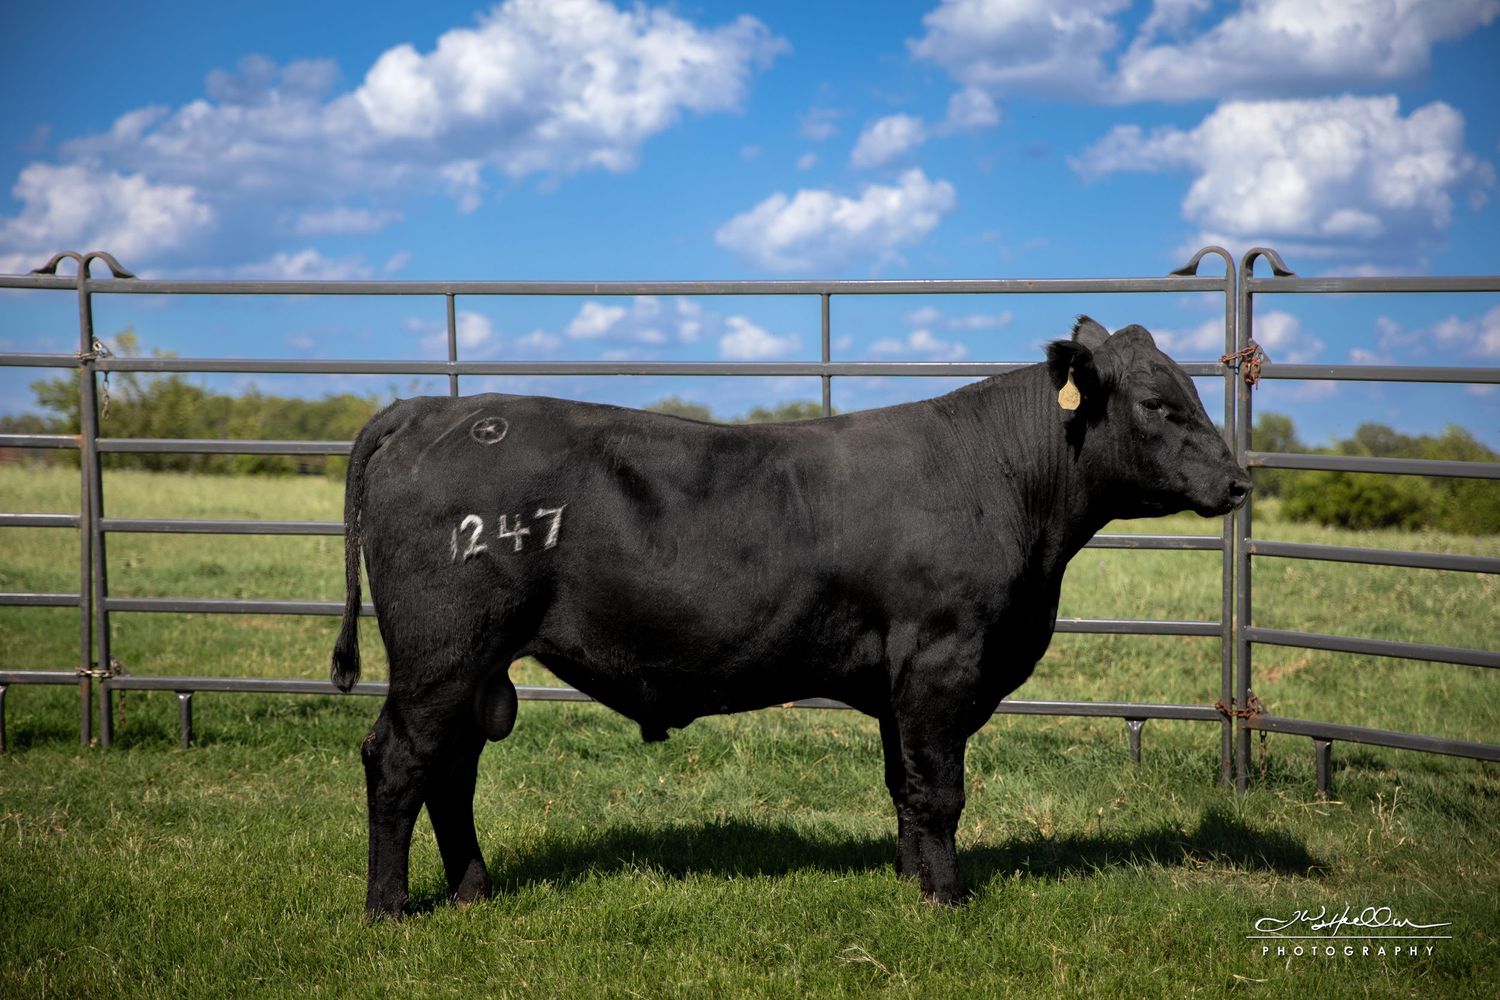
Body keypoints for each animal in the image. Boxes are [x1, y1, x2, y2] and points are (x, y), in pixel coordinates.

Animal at [331, 315, 1250, 919]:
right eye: (1159, 404)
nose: (1240, 480)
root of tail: (430, 408)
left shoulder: (897, 683)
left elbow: (905, 787)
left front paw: (911, 883)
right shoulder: (942, 661)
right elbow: (942, 790)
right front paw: (950, 899)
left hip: (472, 666)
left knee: (452, 770)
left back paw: (474, 894)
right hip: (442, 654)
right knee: (399, 761)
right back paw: (389, 909)